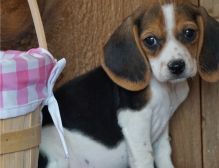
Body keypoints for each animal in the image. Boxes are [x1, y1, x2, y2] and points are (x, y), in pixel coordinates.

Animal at [39, 0, 219, 167]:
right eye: (150, 40)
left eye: (189, 33)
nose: (176, 66)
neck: (165, 87)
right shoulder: (134, 121)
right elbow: (145, 158)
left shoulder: (162, 127)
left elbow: (164, 155)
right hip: (54, 151)